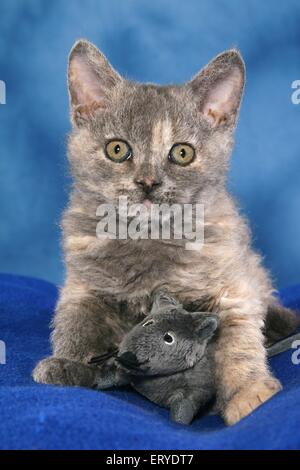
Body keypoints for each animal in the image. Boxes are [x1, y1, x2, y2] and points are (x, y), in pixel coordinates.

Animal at [32, 40, 298, 426]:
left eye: (182, 153)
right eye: (117, 149)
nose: (147, 182)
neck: (148, 238)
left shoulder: (233, 287)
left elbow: (238, 341)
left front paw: (248, 393)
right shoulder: (82, 284)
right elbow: (75, 322)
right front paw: (67, 363)